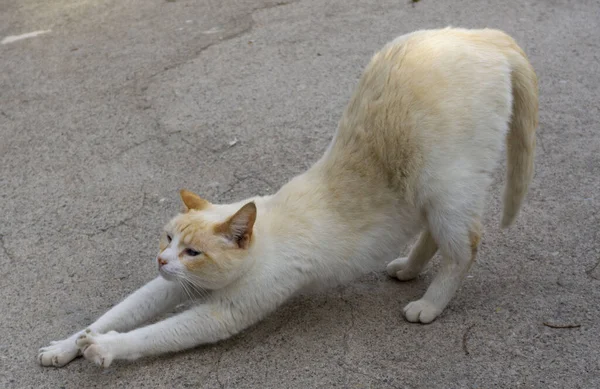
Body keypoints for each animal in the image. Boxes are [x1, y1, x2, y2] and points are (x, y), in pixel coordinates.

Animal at [38, 27, 540, 366]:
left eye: (193, 252)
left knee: (463, 247)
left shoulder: (220, 314)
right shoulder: (167, 286)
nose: (162, 260)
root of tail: (480, 34)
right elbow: (112, 314)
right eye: (167, 240)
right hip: (430, 195)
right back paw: (408, 269)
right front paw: (66, 346)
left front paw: (103, 349)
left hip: (445, 187)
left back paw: (430, 305)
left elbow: (150, 334)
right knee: (434, 236)